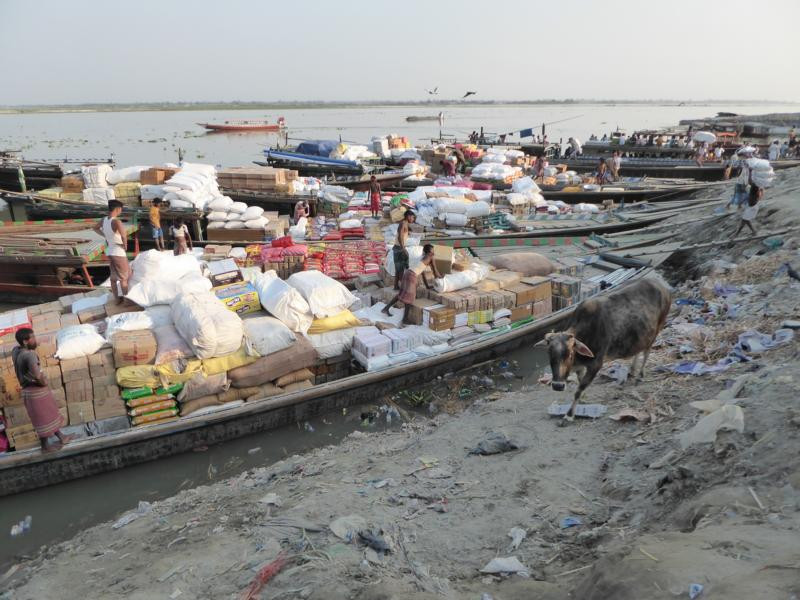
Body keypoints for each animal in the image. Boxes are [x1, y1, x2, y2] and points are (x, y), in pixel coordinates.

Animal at [536, 278, 676, 420]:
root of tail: (661, 285)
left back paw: (640, 376)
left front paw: (569, 415)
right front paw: (584, 399)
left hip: (658, 329)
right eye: (549, 353)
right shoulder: (581, 367)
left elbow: (579, 389)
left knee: (647, 352)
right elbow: (580, 385)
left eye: (570, 354)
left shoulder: (596, 365)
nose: (557, 386)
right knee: (639, 349)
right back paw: (632, 370)